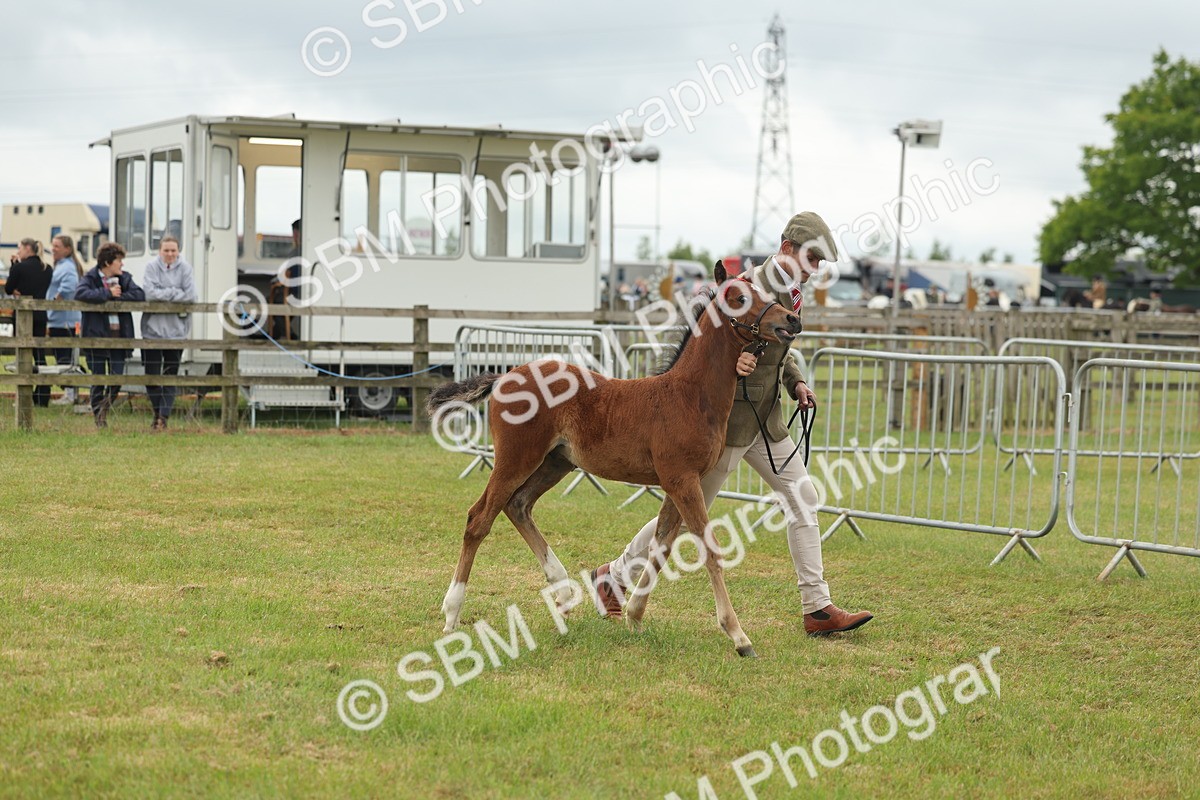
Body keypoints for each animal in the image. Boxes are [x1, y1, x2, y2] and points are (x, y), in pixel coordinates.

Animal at [426, 262, 801, 657]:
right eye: (740, 298)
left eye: (765, 294)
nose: (791, 319)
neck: (689, 395)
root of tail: (505, 376)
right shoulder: (682, 479)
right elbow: (709, 550)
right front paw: (738, 636)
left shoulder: (678, 482)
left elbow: (661, 545)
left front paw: (635, 615)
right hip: (515, 458)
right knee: (479, 518)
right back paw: (452, 613)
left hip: (556, 462)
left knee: (518, 505)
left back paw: (563, 591)